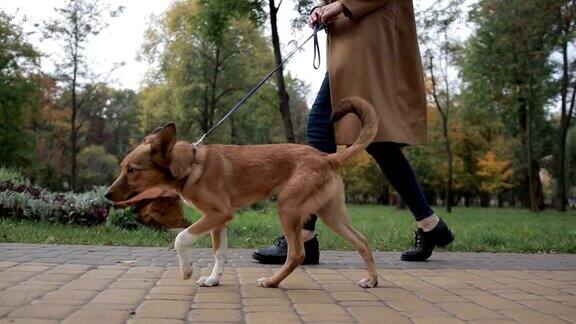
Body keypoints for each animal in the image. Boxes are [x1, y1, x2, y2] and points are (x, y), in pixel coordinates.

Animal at [106, 96, 380, 288]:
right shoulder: (218, 221)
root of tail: (326, 157)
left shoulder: (219, 214)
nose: (107, 195)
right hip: (331, 214)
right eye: (122, 168)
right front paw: (213, 280)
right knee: (363, 242)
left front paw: (187, 270)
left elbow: (180, 238)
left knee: (297, 254)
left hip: (288, 208)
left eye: (131, 170)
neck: (191, 165)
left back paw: (272, 282)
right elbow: (220, 253)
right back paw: (372, 280)